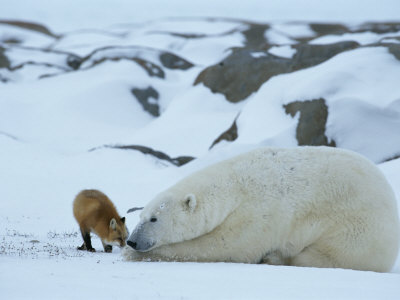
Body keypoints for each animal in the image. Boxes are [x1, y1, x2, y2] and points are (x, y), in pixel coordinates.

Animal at [123, 146, 398, 270]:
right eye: (141, 215)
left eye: (154, 219)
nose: (132, 241)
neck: (235, 186)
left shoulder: (259, 214)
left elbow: (226, 246)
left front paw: (134, 255)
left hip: (356, 229)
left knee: (323, 256)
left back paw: (275, 258)